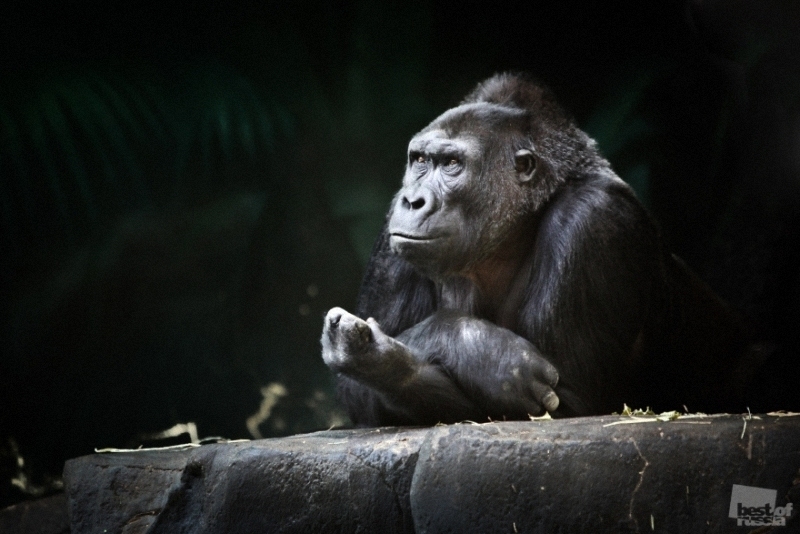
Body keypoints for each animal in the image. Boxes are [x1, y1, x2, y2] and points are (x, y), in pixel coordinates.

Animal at [320, 74, 756, 428]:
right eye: (420, 161)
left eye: (452, 163)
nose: (413, 200)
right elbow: (360, 397)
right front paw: (400, 358)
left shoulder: (592, 216)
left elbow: (569, 403)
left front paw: (453, 345)